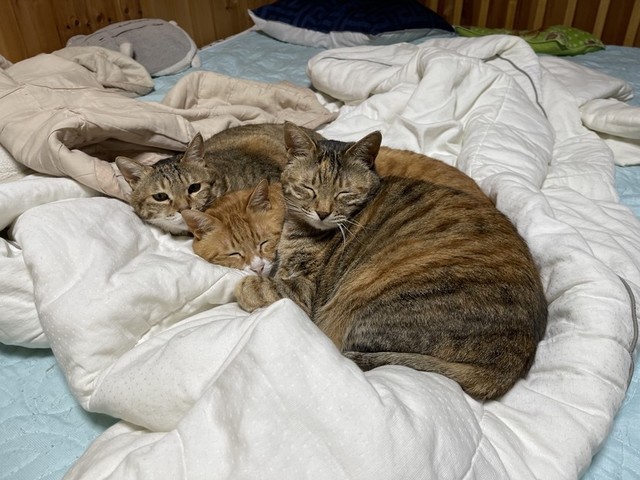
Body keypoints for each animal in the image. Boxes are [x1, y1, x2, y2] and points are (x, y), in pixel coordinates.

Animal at [234, 122, 548, 400]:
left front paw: (244, 285)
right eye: (308, 189)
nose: (323, 212)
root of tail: (510, 364)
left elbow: (255, 286)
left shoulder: (301, 292)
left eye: (344, 193)